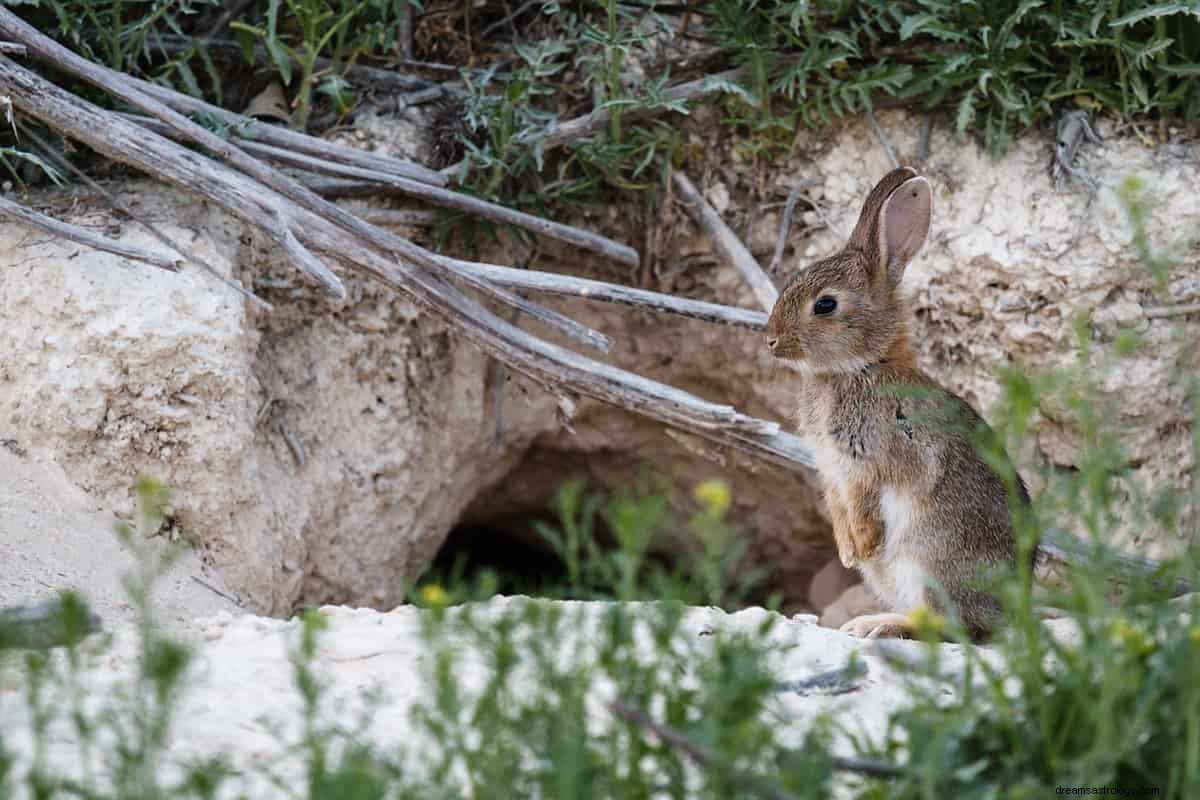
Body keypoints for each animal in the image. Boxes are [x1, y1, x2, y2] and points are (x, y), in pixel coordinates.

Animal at [763, 165, 1027, 642]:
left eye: (825, 305)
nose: (770, 339)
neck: (860, 366)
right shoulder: (832, 470)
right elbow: (838, 505)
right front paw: (848, 552)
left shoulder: (879, 457)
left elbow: (869, 501)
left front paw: (863, 544)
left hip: (927, 562)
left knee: (948, 625)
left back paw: (877, 625)